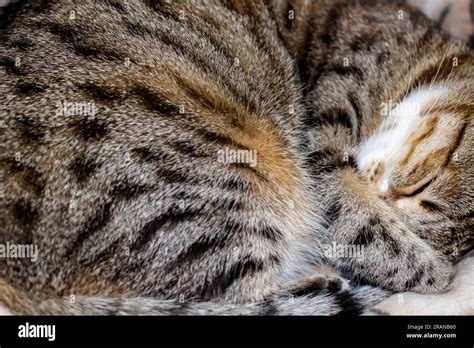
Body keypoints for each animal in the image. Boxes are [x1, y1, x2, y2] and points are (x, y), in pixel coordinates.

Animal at [0, 0, 472, 316]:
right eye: (423, 187)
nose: (384, 196)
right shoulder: (324, 140)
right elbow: (369, 231)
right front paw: (434, 270)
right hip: (217, 189)